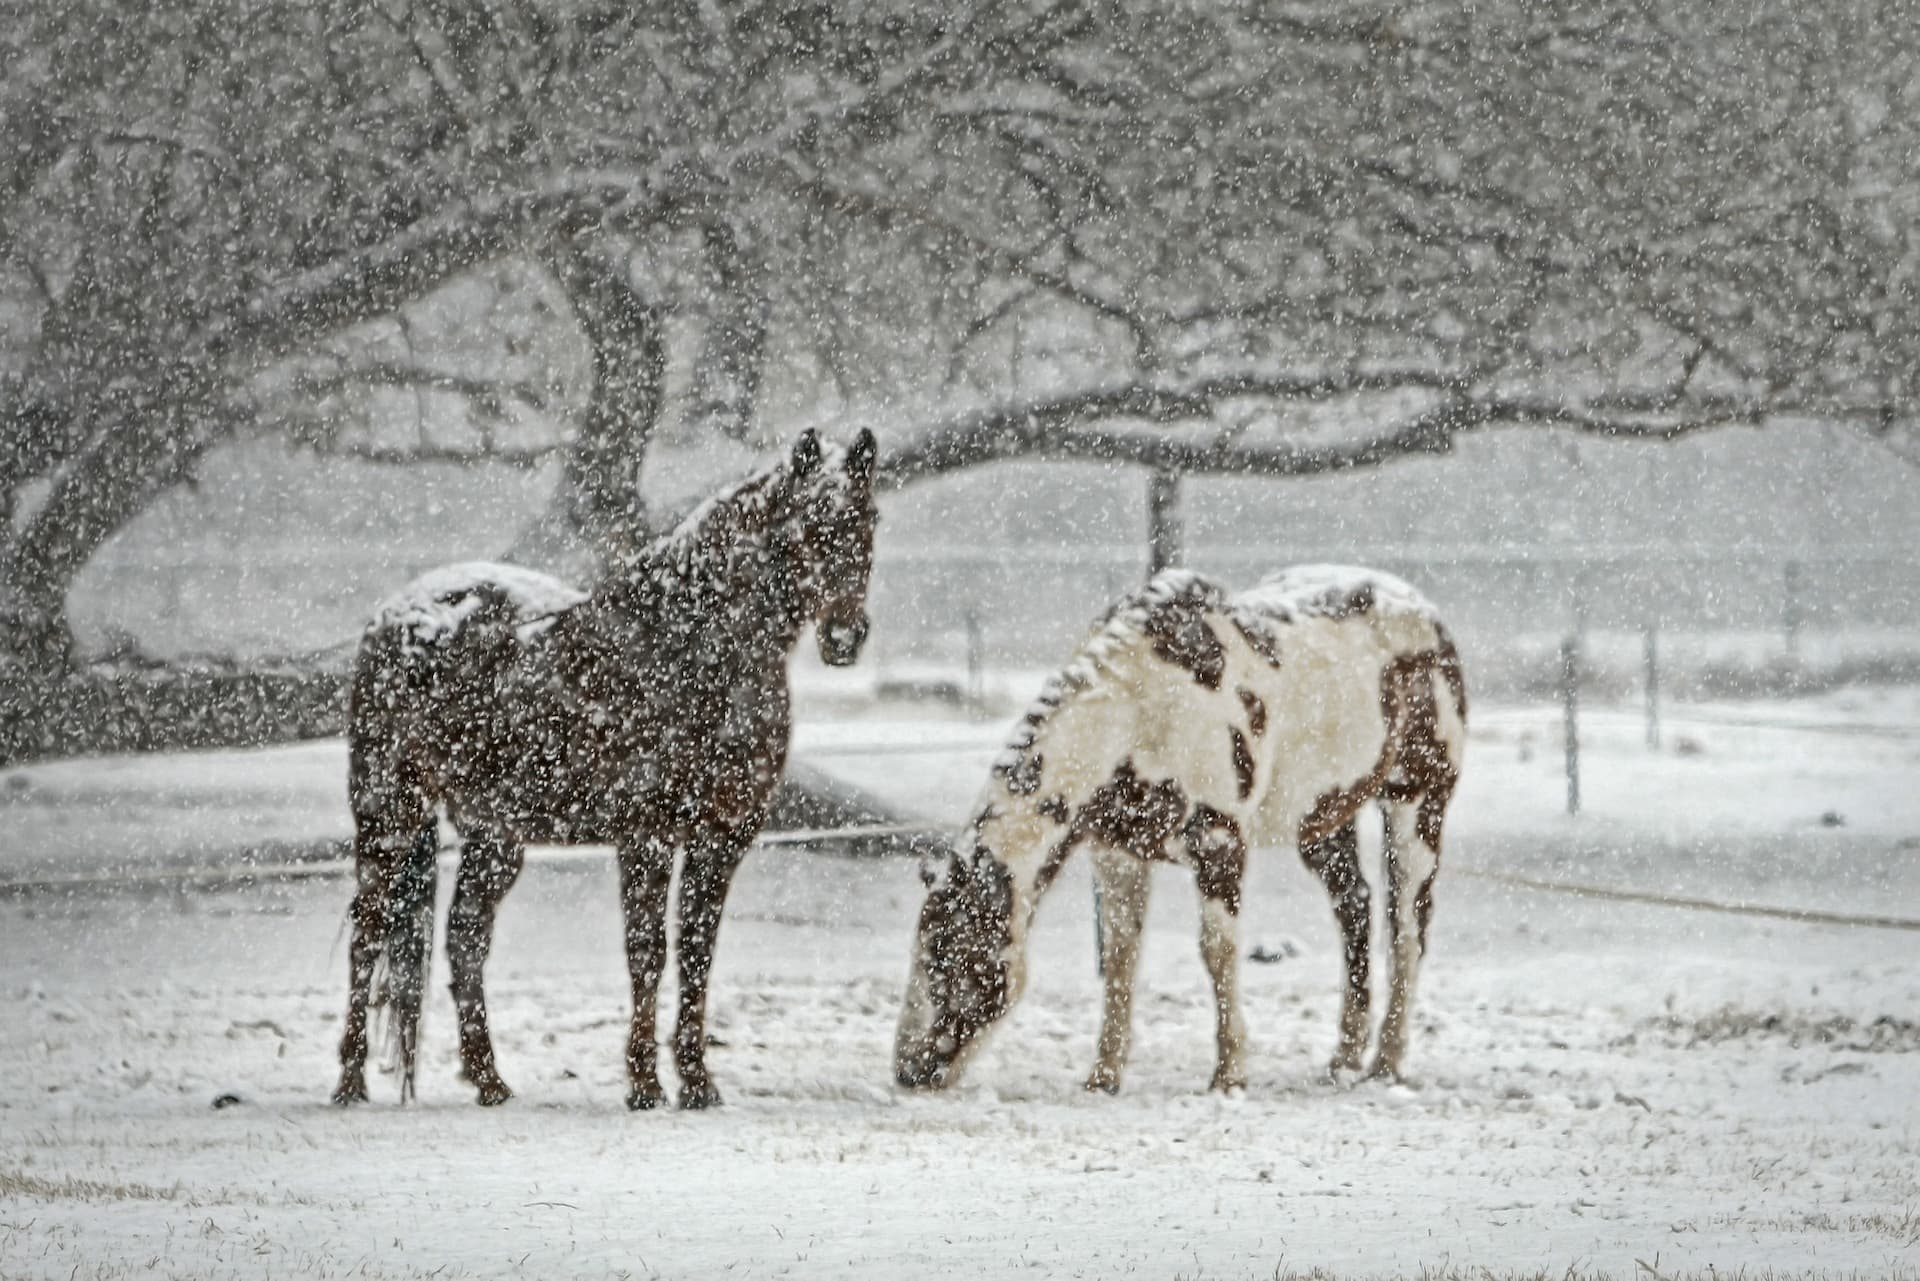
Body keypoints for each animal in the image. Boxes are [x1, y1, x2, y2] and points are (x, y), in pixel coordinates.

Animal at [332, 430, 879, 1113]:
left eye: (868, 518)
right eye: (806, 524)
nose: (845, 636)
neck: (691, 647)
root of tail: (397, 615)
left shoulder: (723, 837)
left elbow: (697, 952)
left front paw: (697, 1082)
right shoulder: (647, 834)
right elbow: (648, 952)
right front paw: (644, 1084)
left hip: (494, 836)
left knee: (464, 939)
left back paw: (489, 1080)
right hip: (390, 813)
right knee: (368, 932)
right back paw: (350, 1082)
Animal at [898, 564, 1466, 1098]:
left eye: (952, 958)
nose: (908, 1071)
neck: (1140, 709)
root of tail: (1427, 615)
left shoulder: (1219, 845)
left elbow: (1217, 953)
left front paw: (1229, 1075)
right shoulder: (1118, 853)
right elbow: (1120, 957)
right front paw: (1103, 1077)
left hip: (1417, 804)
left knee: (1407, 927)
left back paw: (1387, 1063)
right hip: (1323, 821)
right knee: (1355, 908)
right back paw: (1344, 1059)